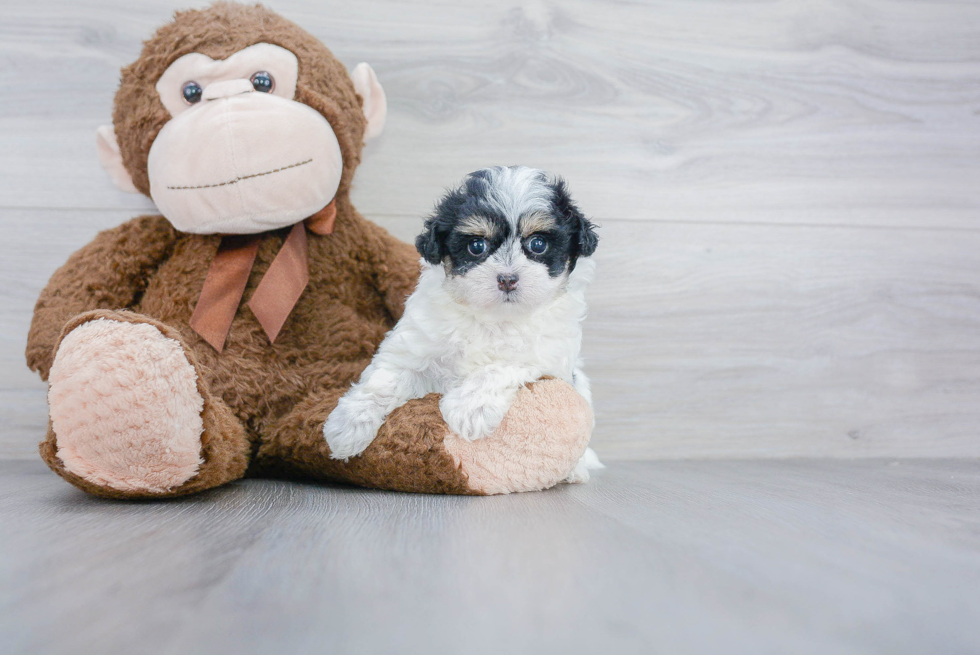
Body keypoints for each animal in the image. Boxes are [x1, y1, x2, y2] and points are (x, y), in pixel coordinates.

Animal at [322, 164, 600, 482]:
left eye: (538, 244)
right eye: (477, 246)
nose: (507, 279)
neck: (493, 317)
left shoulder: (546, 356)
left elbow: (501, 366)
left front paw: (469, 408)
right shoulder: (416, 345)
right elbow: (385, 378)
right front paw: (348, 425)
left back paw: (575, 470)